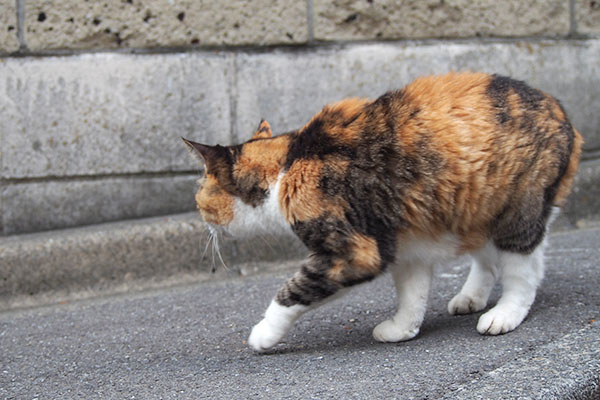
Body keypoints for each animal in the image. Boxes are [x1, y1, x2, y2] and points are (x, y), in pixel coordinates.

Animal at [183, 72, 580, 354]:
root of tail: (560, 110)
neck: (288, 163)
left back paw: (504, 314)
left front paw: (263, 334)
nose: (201, 220)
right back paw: (470, 298)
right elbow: (412, 293)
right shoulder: (407, 244)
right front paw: (402, 329)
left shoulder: (354, 252)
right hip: (471, 207)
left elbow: (292, 292)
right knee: (488, 260)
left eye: (199, 194)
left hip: (516, 210)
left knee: (524, 270)